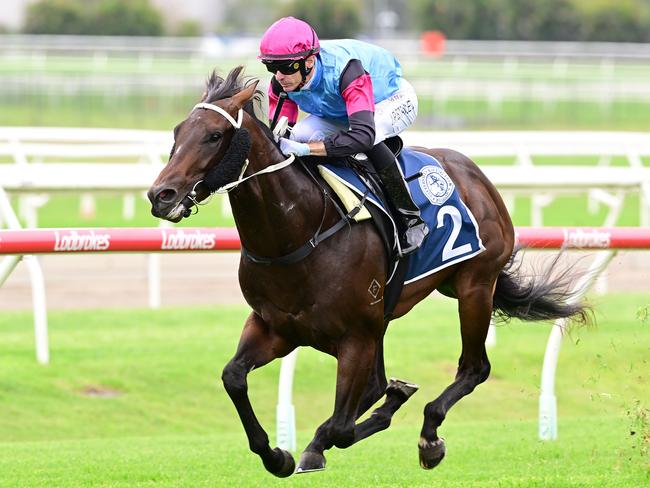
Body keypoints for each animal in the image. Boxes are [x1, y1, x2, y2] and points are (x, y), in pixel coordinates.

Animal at [147, 67, 588, 476]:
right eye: (178, 132)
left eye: (214, 135)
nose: (160, 195)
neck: (299, 233)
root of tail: (475, 174)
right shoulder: (276, 327)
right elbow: (233, 377)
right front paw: (276, 455)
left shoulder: (355, 335)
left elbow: (341, 428)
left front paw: (316, 446)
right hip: (399, 311)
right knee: (382, 381)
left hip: (474, 286)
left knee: (474, 367)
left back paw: (429, 436)